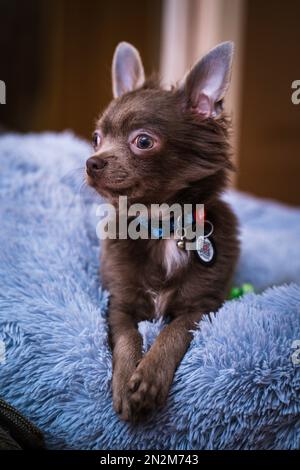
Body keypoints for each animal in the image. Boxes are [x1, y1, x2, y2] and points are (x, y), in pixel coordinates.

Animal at [86, 41, 239, 422]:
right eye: (96, 138)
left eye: (143, 141)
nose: (91, 162)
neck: (160, 227)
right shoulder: (119, 305)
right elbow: (128, 338)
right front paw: (127, 378)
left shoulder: (202, 307)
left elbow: (173, 331)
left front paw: (150, 377)